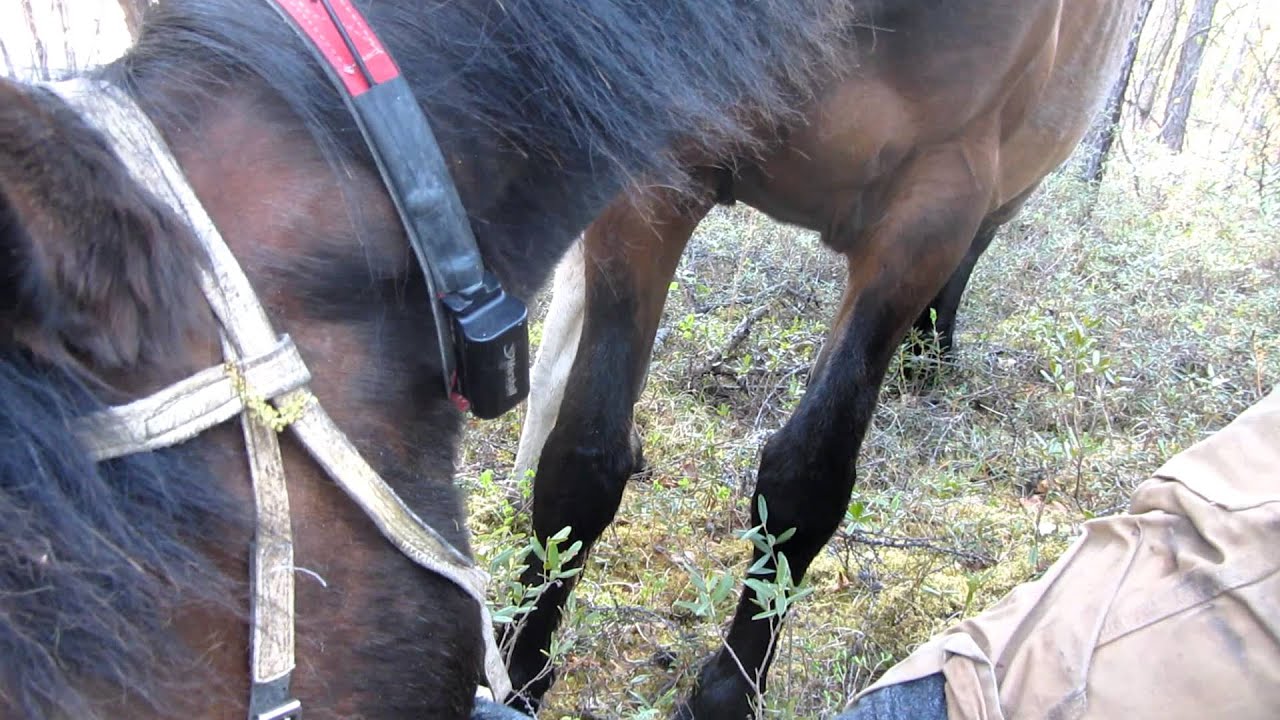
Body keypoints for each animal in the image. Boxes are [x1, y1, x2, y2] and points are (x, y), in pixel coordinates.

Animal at [504, 1, 1144, 717]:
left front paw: (726, 693)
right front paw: (520, 663)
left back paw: (930, 359)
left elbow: (806, 481)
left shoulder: (931, 212)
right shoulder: (661, 158)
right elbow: (583, 458)